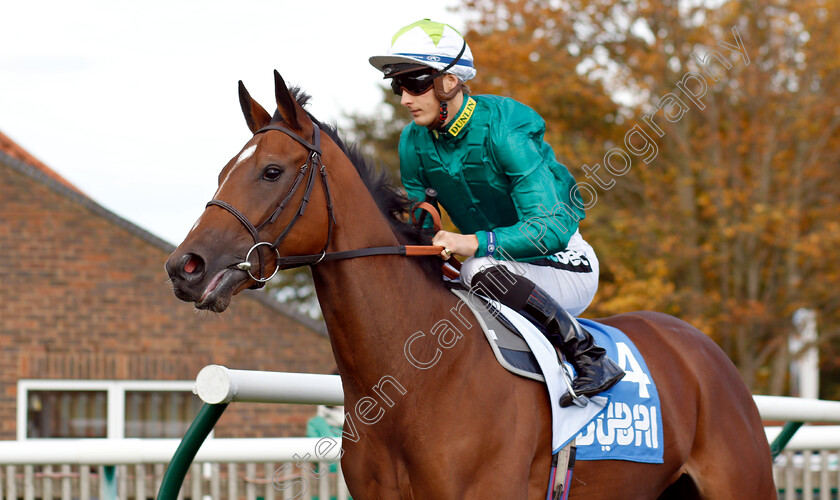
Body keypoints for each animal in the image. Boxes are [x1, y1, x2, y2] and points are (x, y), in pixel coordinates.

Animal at [164, 71, 776, 500]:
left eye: (271, 171)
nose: (185, 266)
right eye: (222, 172)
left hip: (743, 480)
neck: (416, 378)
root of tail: (704, 350)